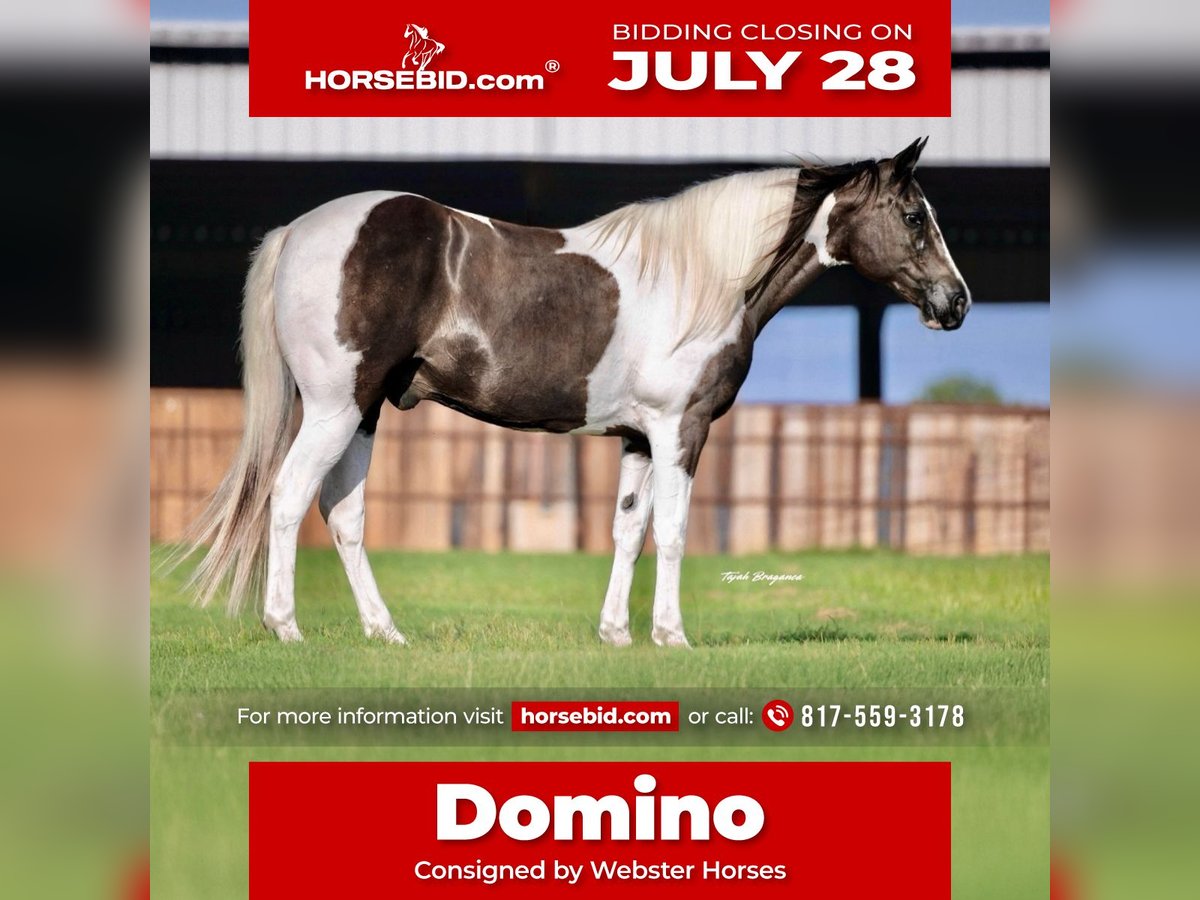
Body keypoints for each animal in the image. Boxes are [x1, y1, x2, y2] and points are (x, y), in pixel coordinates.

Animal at [182, 137, 969, 647]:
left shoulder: (638, 437)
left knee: (343, 514)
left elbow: (629, 531)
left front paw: (618, 634)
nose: (955, 302)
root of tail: (299, 230)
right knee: (288, 498)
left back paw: (385, 632)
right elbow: (674, 531)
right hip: (334, 409)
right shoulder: (682, 430)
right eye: (913, 216)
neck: (702, 278)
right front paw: (672, 636)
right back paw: (286, 627)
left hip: (364, 412)